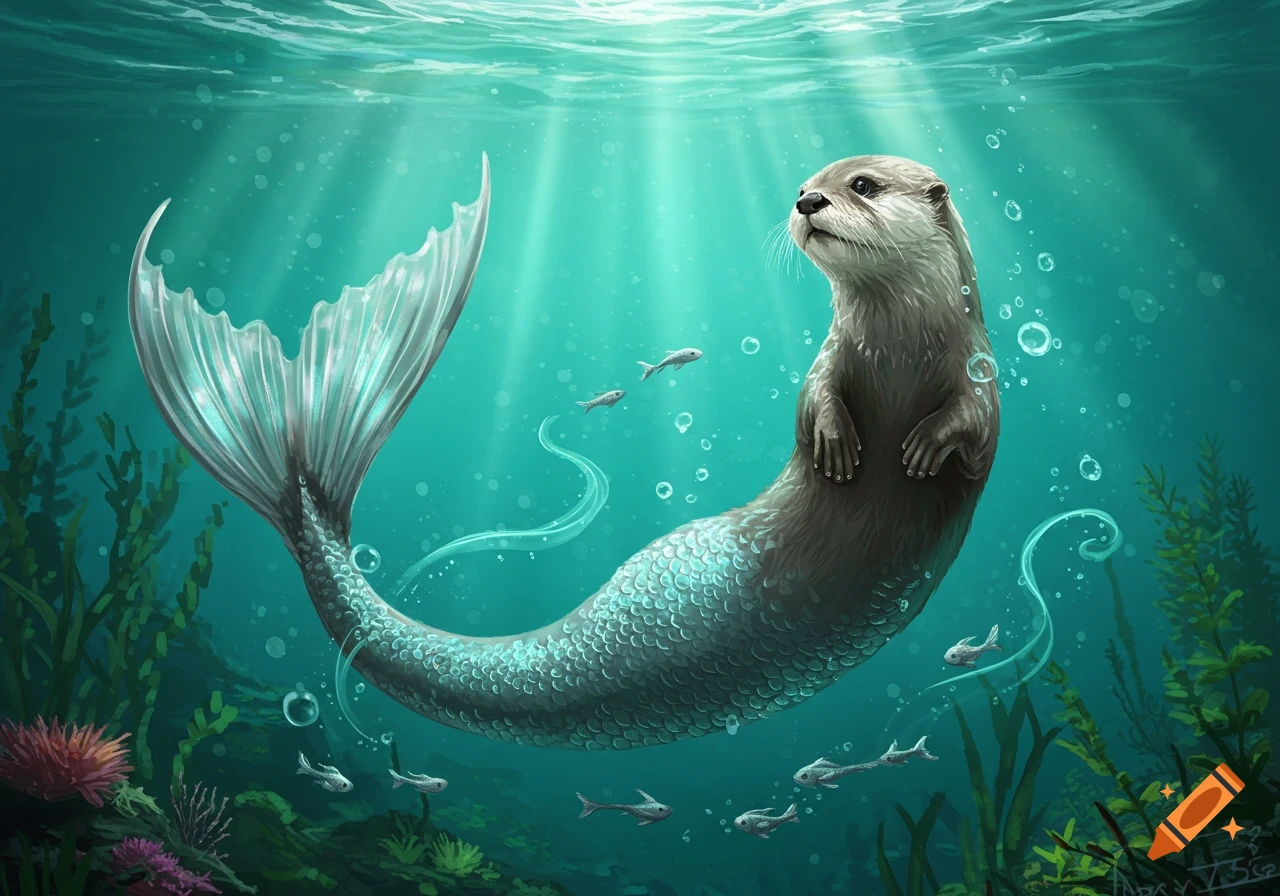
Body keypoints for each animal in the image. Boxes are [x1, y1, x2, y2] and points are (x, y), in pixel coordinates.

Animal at [127, 152, 998, 750]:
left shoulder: (979, 366)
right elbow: (813, 396)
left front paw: (922, 447)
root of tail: (304, 492)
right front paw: (837, 442)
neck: (898, 346)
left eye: (864, 185)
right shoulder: (833, 357)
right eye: (810, 181)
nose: (807, 200)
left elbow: (973, 425)